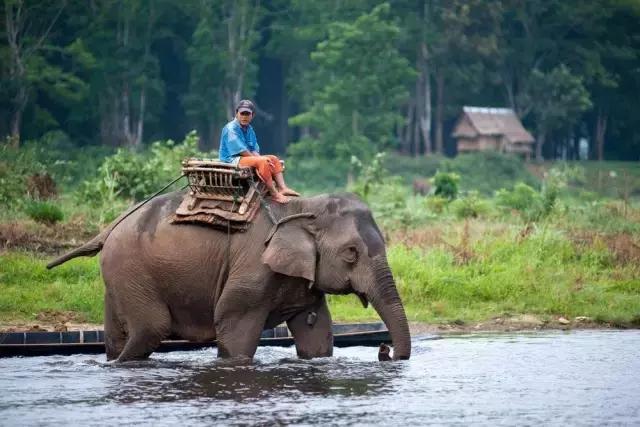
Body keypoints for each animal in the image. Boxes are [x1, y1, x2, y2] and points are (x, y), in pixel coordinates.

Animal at [47, 192, 412, 362]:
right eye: (351, 253)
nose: (385, 350)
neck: (304, 207)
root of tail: (108, 229)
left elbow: (316, 333)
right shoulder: (252, 269)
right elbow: (233, 324)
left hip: (120, 277)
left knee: (118, 335)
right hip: (132, 271)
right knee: (151, 329)